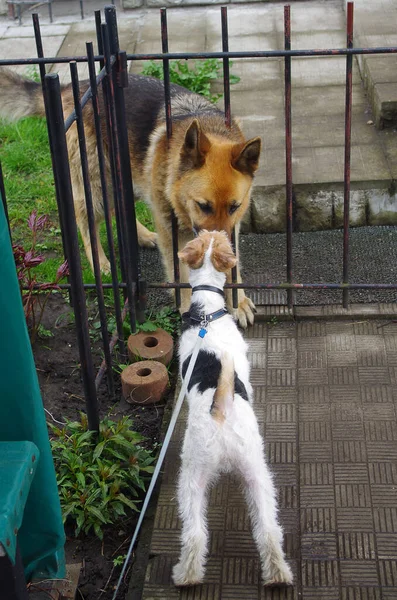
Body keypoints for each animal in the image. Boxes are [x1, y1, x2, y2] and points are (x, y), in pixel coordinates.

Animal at [0, 69, 262, 328]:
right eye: (203, 206)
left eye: (235, 207)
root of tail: (70, 88)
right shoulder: (170, 230)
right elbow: (181, 275)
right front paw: (189, 307)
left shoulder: (231, 228)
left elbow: (232, 266)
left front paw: (238, 302)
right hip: (98, 186)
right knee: (86, 220)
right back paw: (101, 263)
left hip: (129, 180)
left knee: (118, 208)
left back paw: (143, 235)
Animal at [172, 230, 290, 584]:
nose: (222, 231)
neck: (207, 312)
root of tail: (220, 411)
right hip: (235, 472)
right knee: (261, 530)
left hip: (218, 477)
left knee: (201, 534)